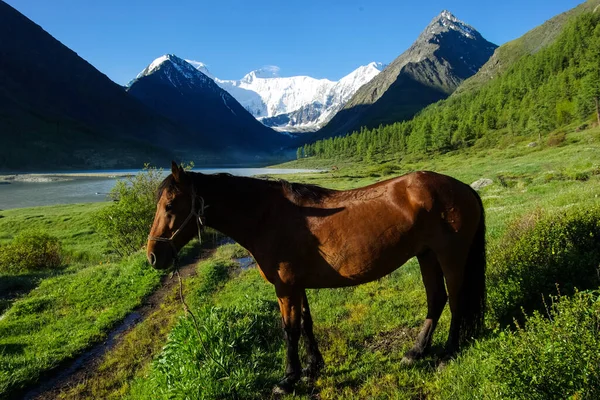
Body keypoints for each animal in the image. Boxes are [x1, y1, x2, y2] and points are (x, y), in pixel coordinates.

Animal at [148, 162, 486, 394]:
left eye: (170, 205)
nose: (153, 256)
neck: (266, 217)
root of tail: (464, 189)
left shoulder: (285, 287)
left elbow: (290, 330)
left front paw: (288, 379)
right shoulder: (298, 284)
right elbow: (306, 324)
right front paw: (313, 366)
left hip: (450, 256)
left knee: (456, 301)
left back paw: (448, 351)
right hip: (426, 255)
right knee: (436, 299)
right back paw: (416, 352)